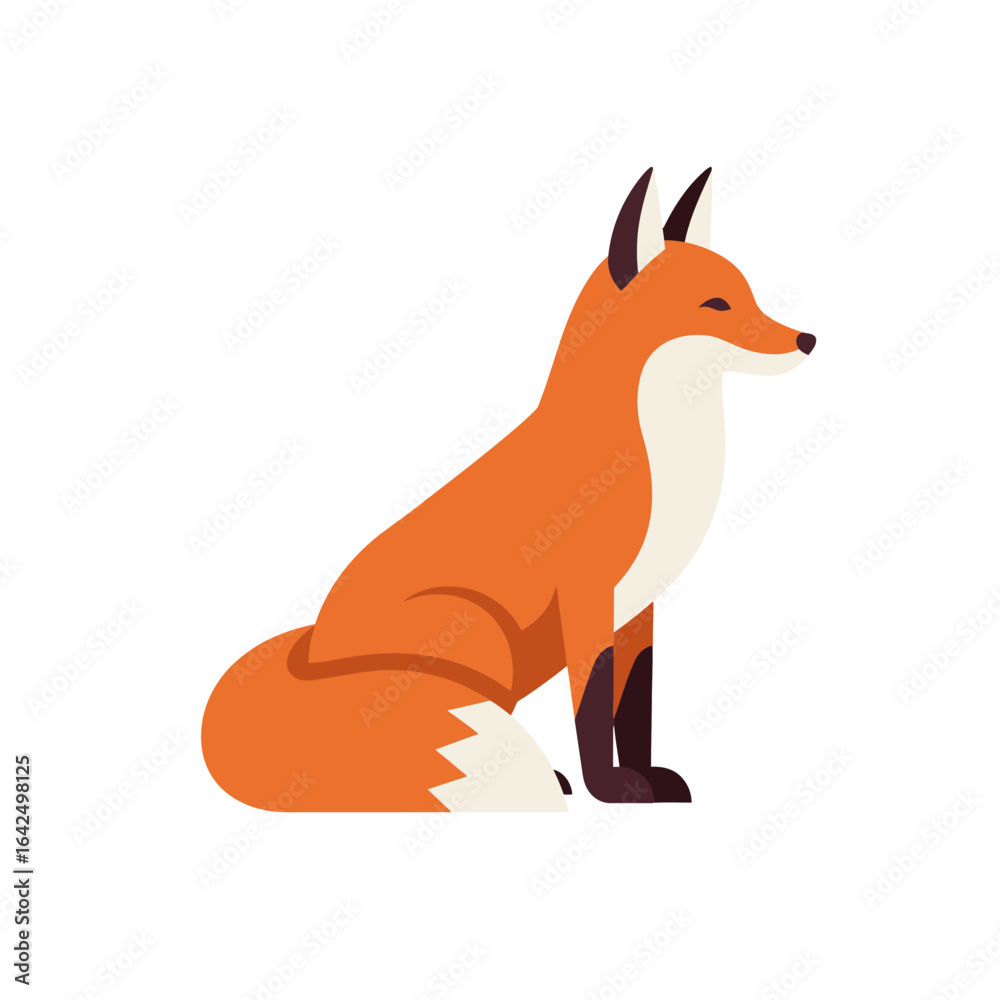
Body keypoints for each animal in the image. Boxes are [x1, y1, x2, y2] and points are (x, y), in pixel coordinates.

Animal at [202, 166, 817, 812]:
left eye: (749, 294)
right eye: (716, 304)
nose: (806, 339)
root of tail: (310, 649)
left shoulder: (638, 609)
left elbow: (635, 707)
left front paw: (646, 779)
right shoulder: (586, 597)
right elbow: (592, 704)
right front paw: (610, 788)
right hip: (478, 634)